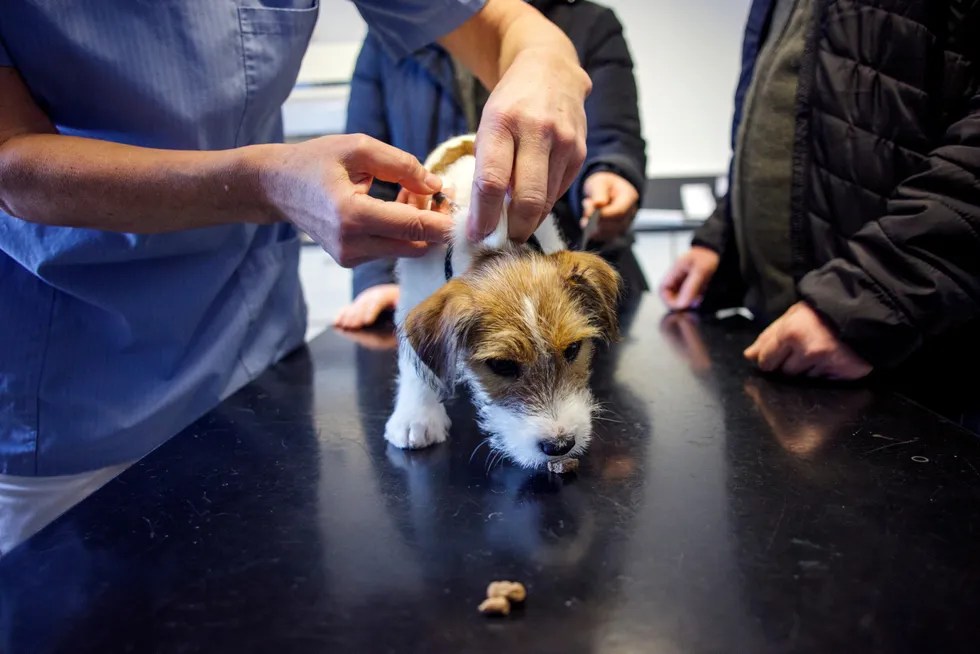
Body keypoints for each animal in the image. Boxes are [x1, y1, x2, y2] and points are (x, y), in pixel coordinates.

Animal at [384, 135, 620, 472]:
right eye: (502, 365)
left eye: (573, 350)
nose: (560, 445)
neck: (496, 246)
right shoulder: (414, 295)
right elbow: (415, 367)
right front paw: (416, 416)